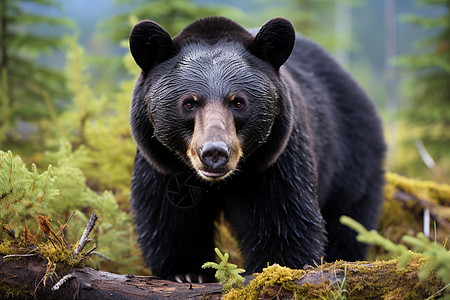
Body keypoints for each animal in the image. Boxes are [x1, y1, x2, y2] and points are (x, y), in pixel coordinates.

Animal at [128, 17, 384, 284]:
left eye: (238, 102)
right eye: (189, 103)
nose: (214, 153)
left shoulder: (276, 163)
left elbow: (282, 220)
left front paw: (274, 269)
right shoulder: (164, 167)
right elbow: (171, 220)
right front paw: (186, 272)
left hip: (352, 156)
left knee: (348, 220)